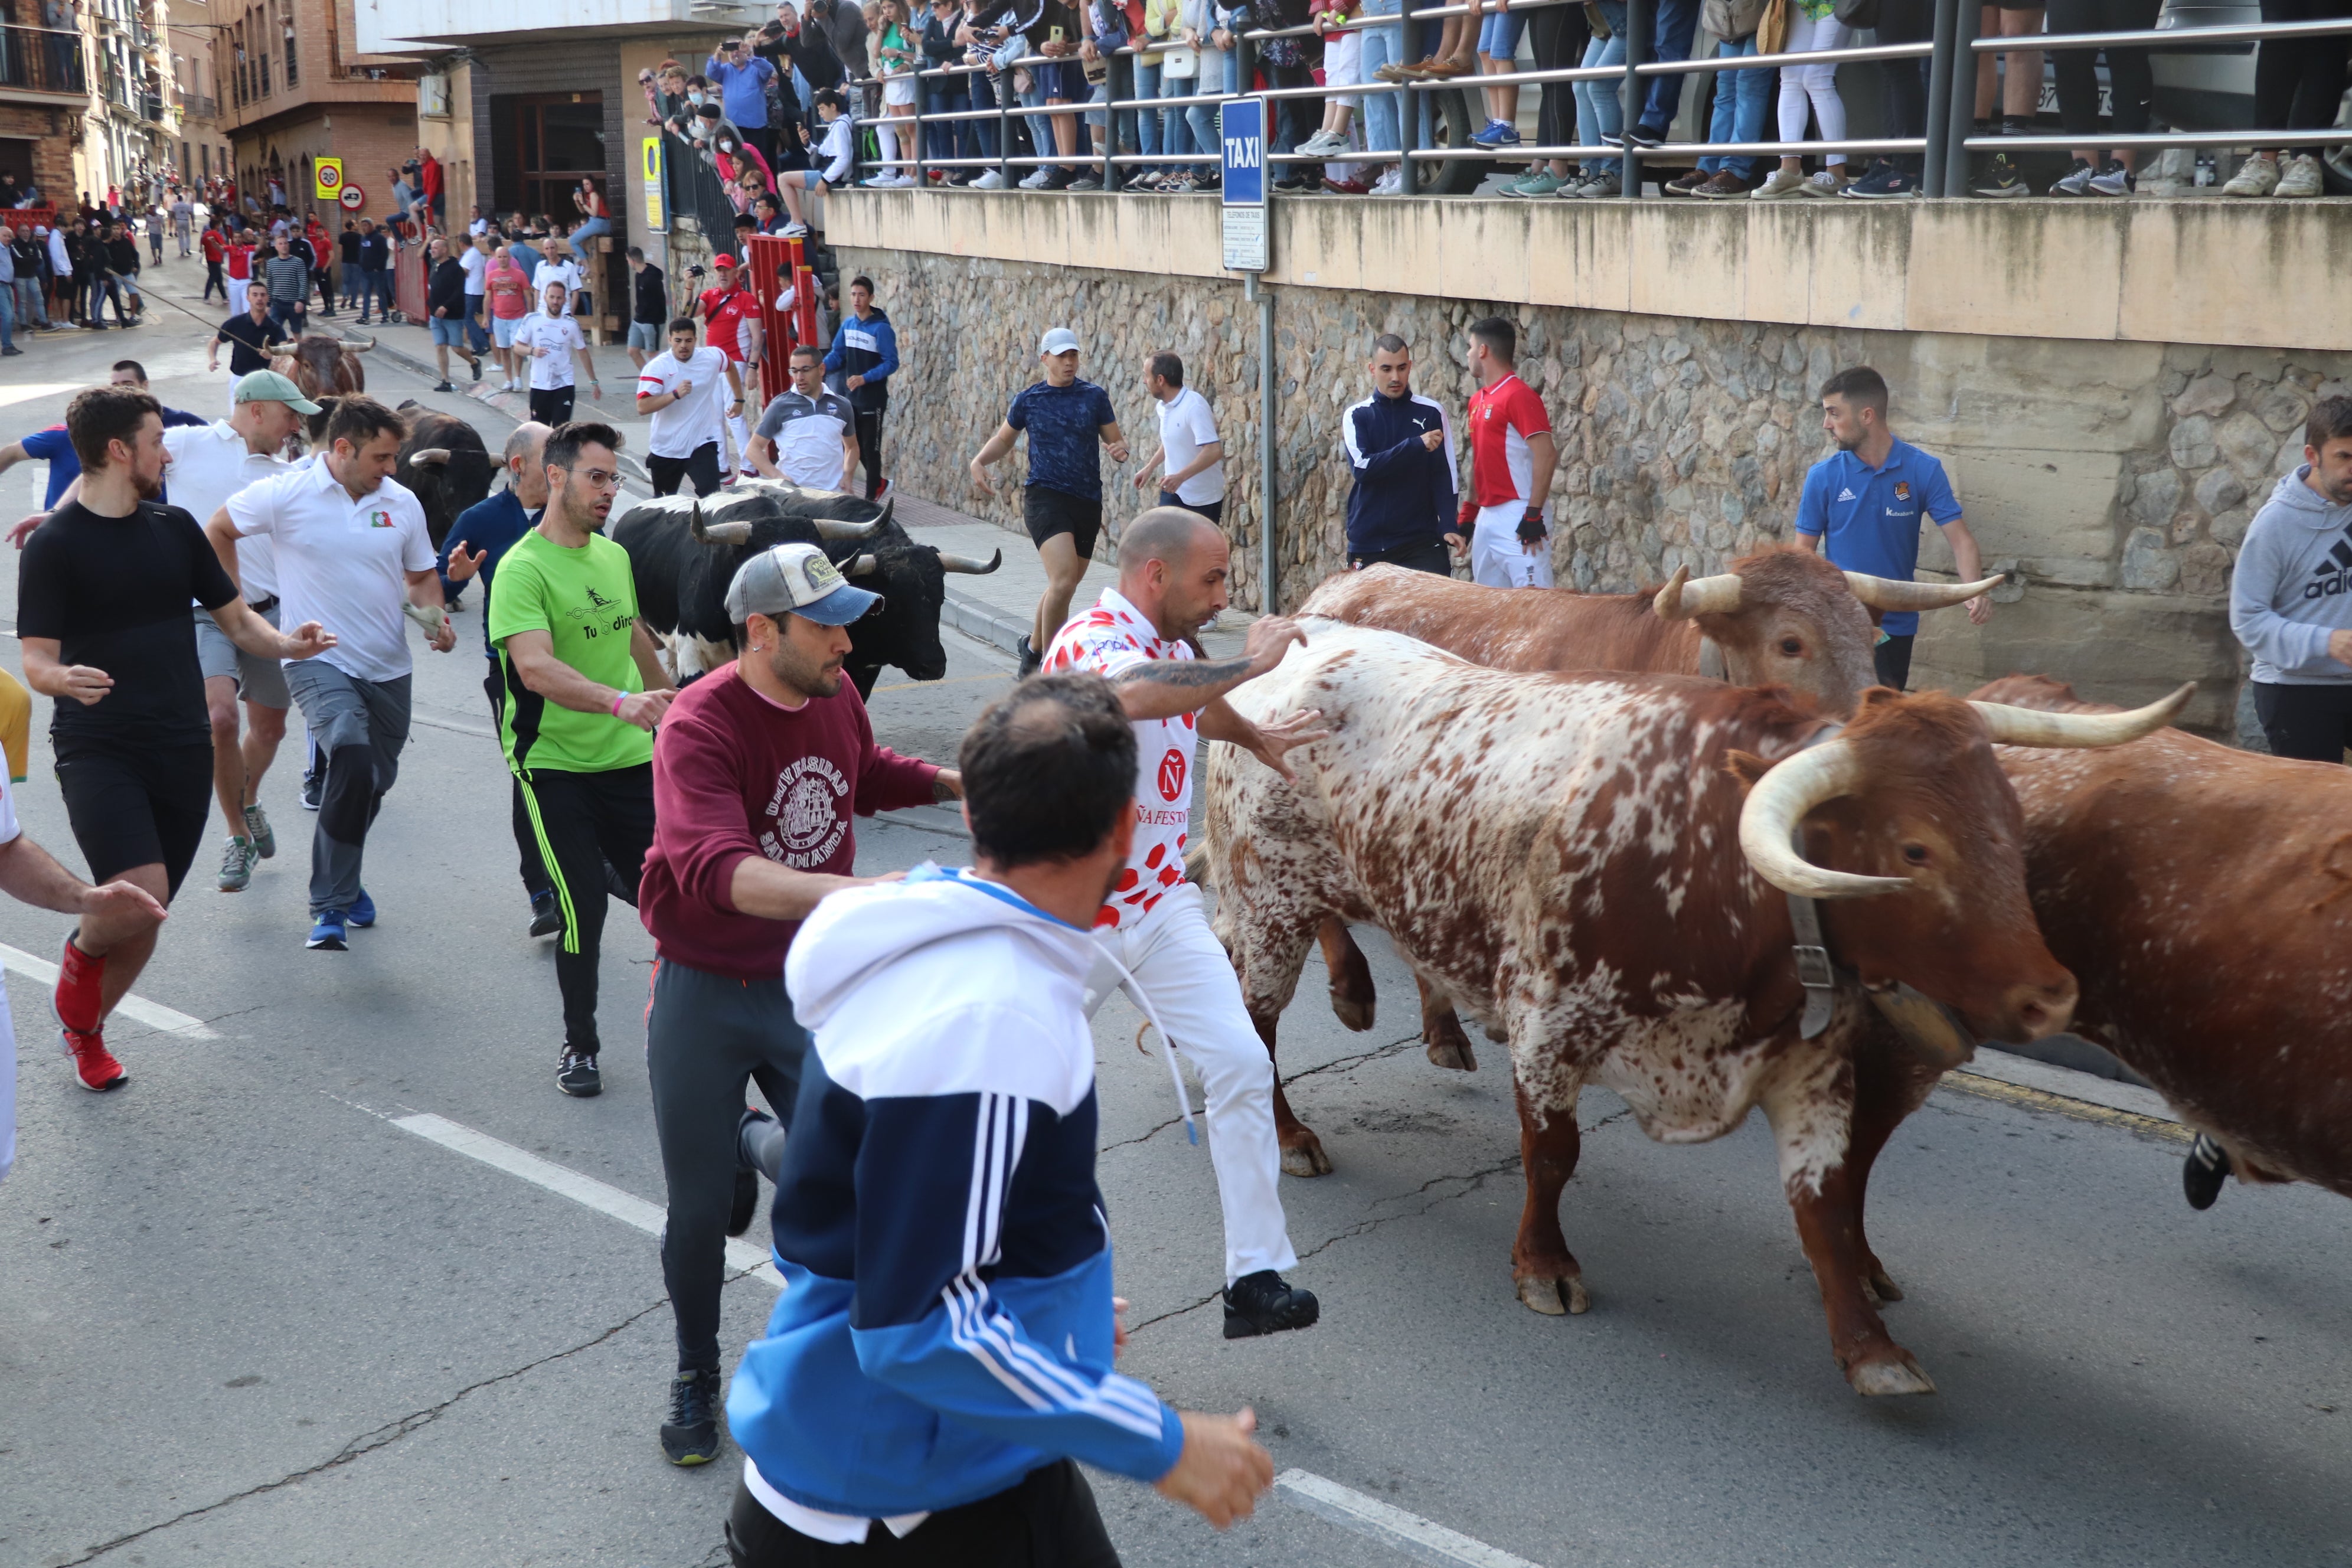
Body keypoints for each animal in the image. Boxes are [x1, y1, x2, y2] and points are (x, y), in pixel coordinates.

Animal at [1213, 620, 2183, 1391]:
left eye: (2012, 822)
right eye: (1916, 849)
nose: (2051, 994)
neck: (1707, 855)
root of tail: (1295, 645)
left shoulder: (1809, 1065)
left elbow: (1827, 1203)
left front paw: (1870, 1346)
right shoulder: (1549, 1027)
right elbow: (1552, 1155)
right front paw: (1544, 1264)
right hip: (1271, 909)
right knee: (1253, 1031)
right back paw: (1291, 1132)